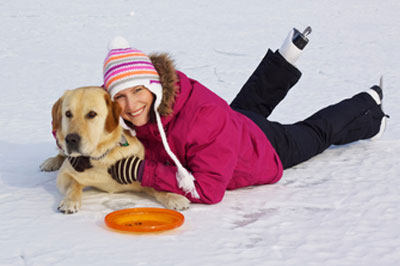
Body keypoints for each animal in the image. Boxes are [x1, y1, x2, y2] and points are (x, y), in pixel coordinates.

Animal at [40, 87, 191, 214]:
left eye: (92, 114)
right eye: (68, 114)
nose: (71, 139)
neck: (101, 157)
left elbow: (156, 186)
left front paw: (174, 197)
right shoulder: (65, 174)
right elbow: (74, 185)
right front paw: (70, 201)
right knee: (61, 153)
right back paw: (51, 162)